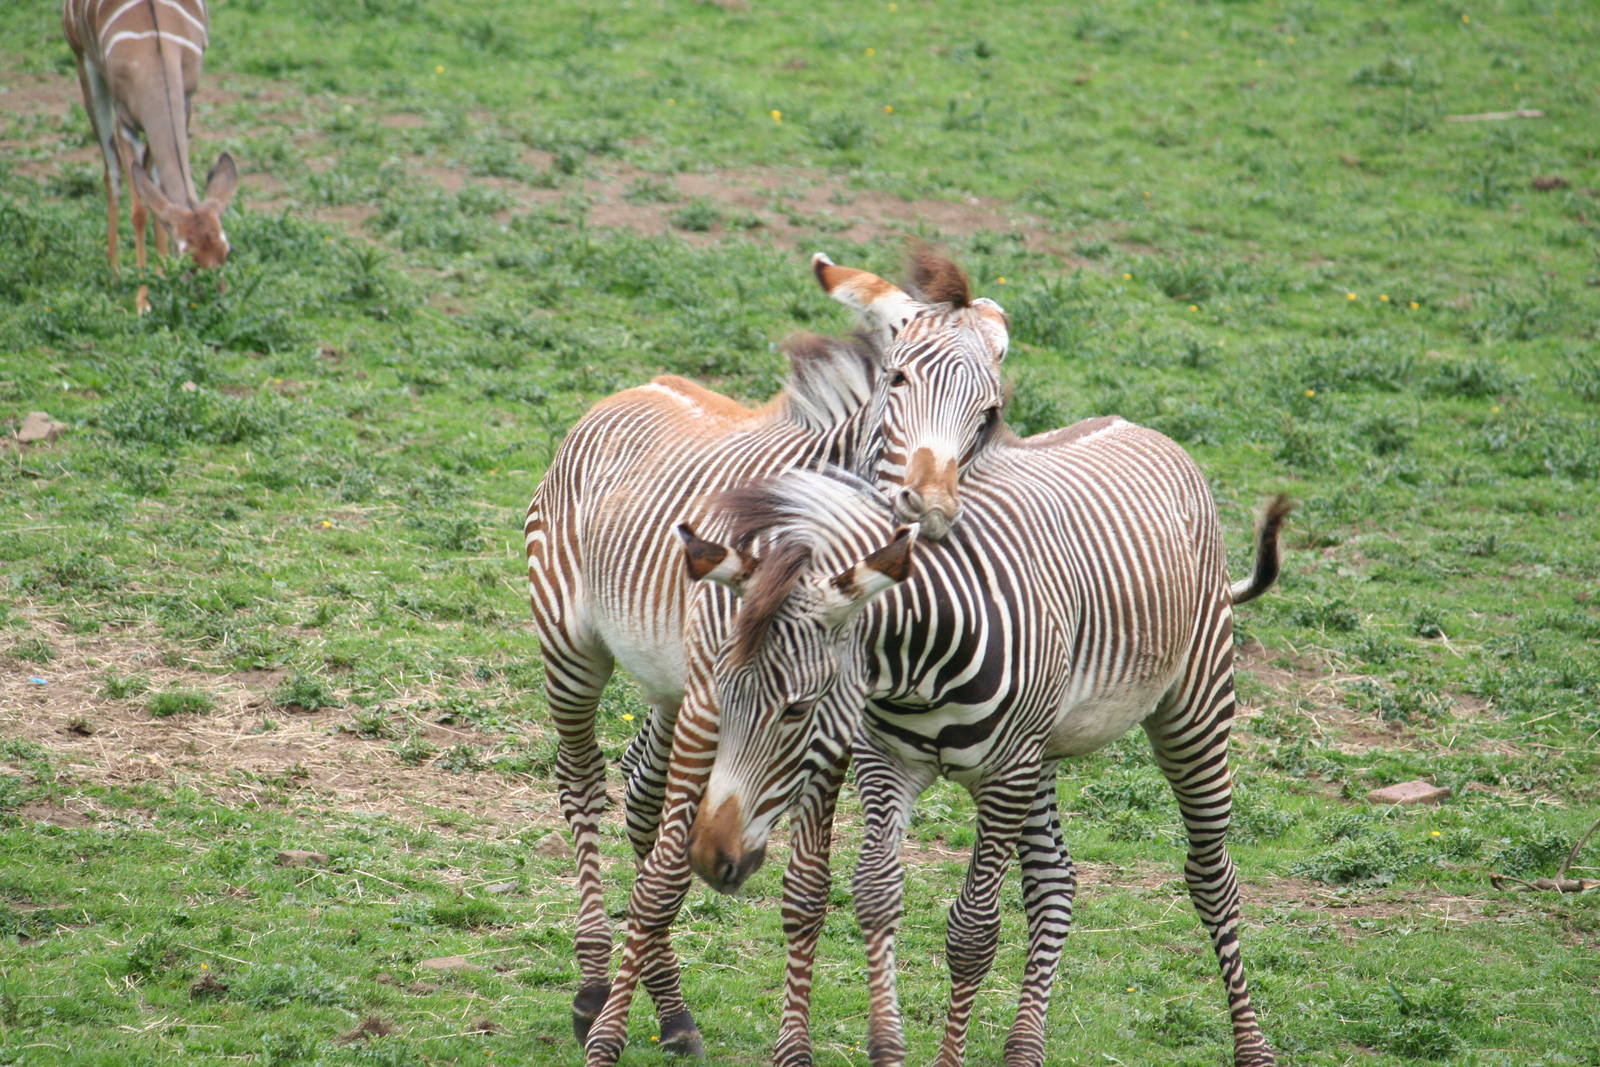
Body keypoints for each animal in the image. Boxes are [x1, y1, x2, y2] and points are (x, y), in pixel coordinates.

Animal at [524, 251, 1010, 1059]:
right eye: (898, 377)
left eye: (992, 411)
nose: (930, 510)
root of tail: (638, 385)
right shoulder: (718, 697)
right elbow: (666, 878)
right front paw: (611, 1022)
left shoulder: (825, 724)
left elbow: (807, 889)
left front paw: (791, 1045)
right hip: (573, 649)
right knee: (583, 784)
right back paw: (594, 986)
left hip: (666, 685)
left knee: (641, 788)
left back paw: (669, 1007)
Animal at [675, 418, 1289, 1066]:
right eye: (721, 691)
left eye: (797, 707)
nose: (709, 855)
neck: (916, 666)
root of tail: (1141, 427)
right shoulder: (885, 762)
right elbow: (874, 894)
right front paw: (886, 1045)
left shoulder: (1004, 776)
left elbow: (973, 930)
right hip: (1042, 751)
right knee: (1054, 882)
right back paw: (1023, 1047)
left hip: (1194, 708)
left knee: (1212, 876)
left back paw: (1252, 1044)